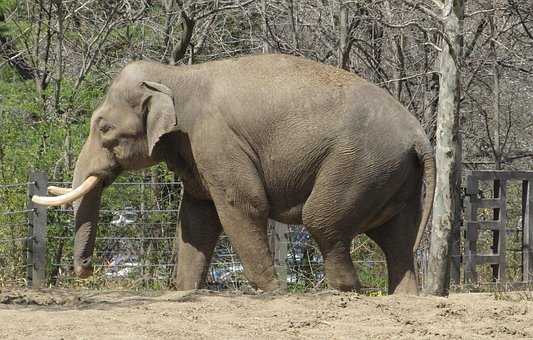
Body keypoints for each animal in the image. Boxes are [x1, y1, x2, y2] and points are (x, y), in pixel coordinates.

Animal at [32, 53, 432, 294]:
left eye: (103, 128)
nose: (85, 271)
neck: (176, 75)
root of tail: (418, 134)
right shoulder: (196, 152)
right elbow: (196, 218)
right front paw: (186, 290)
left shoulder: (216, 139)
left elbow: (242, 205)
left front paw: (273, 291)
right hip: (394, 175)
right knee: (396, 239)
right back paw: (404, 296)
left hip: (359, 164)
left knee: (323, 221)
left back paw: (344, 290)